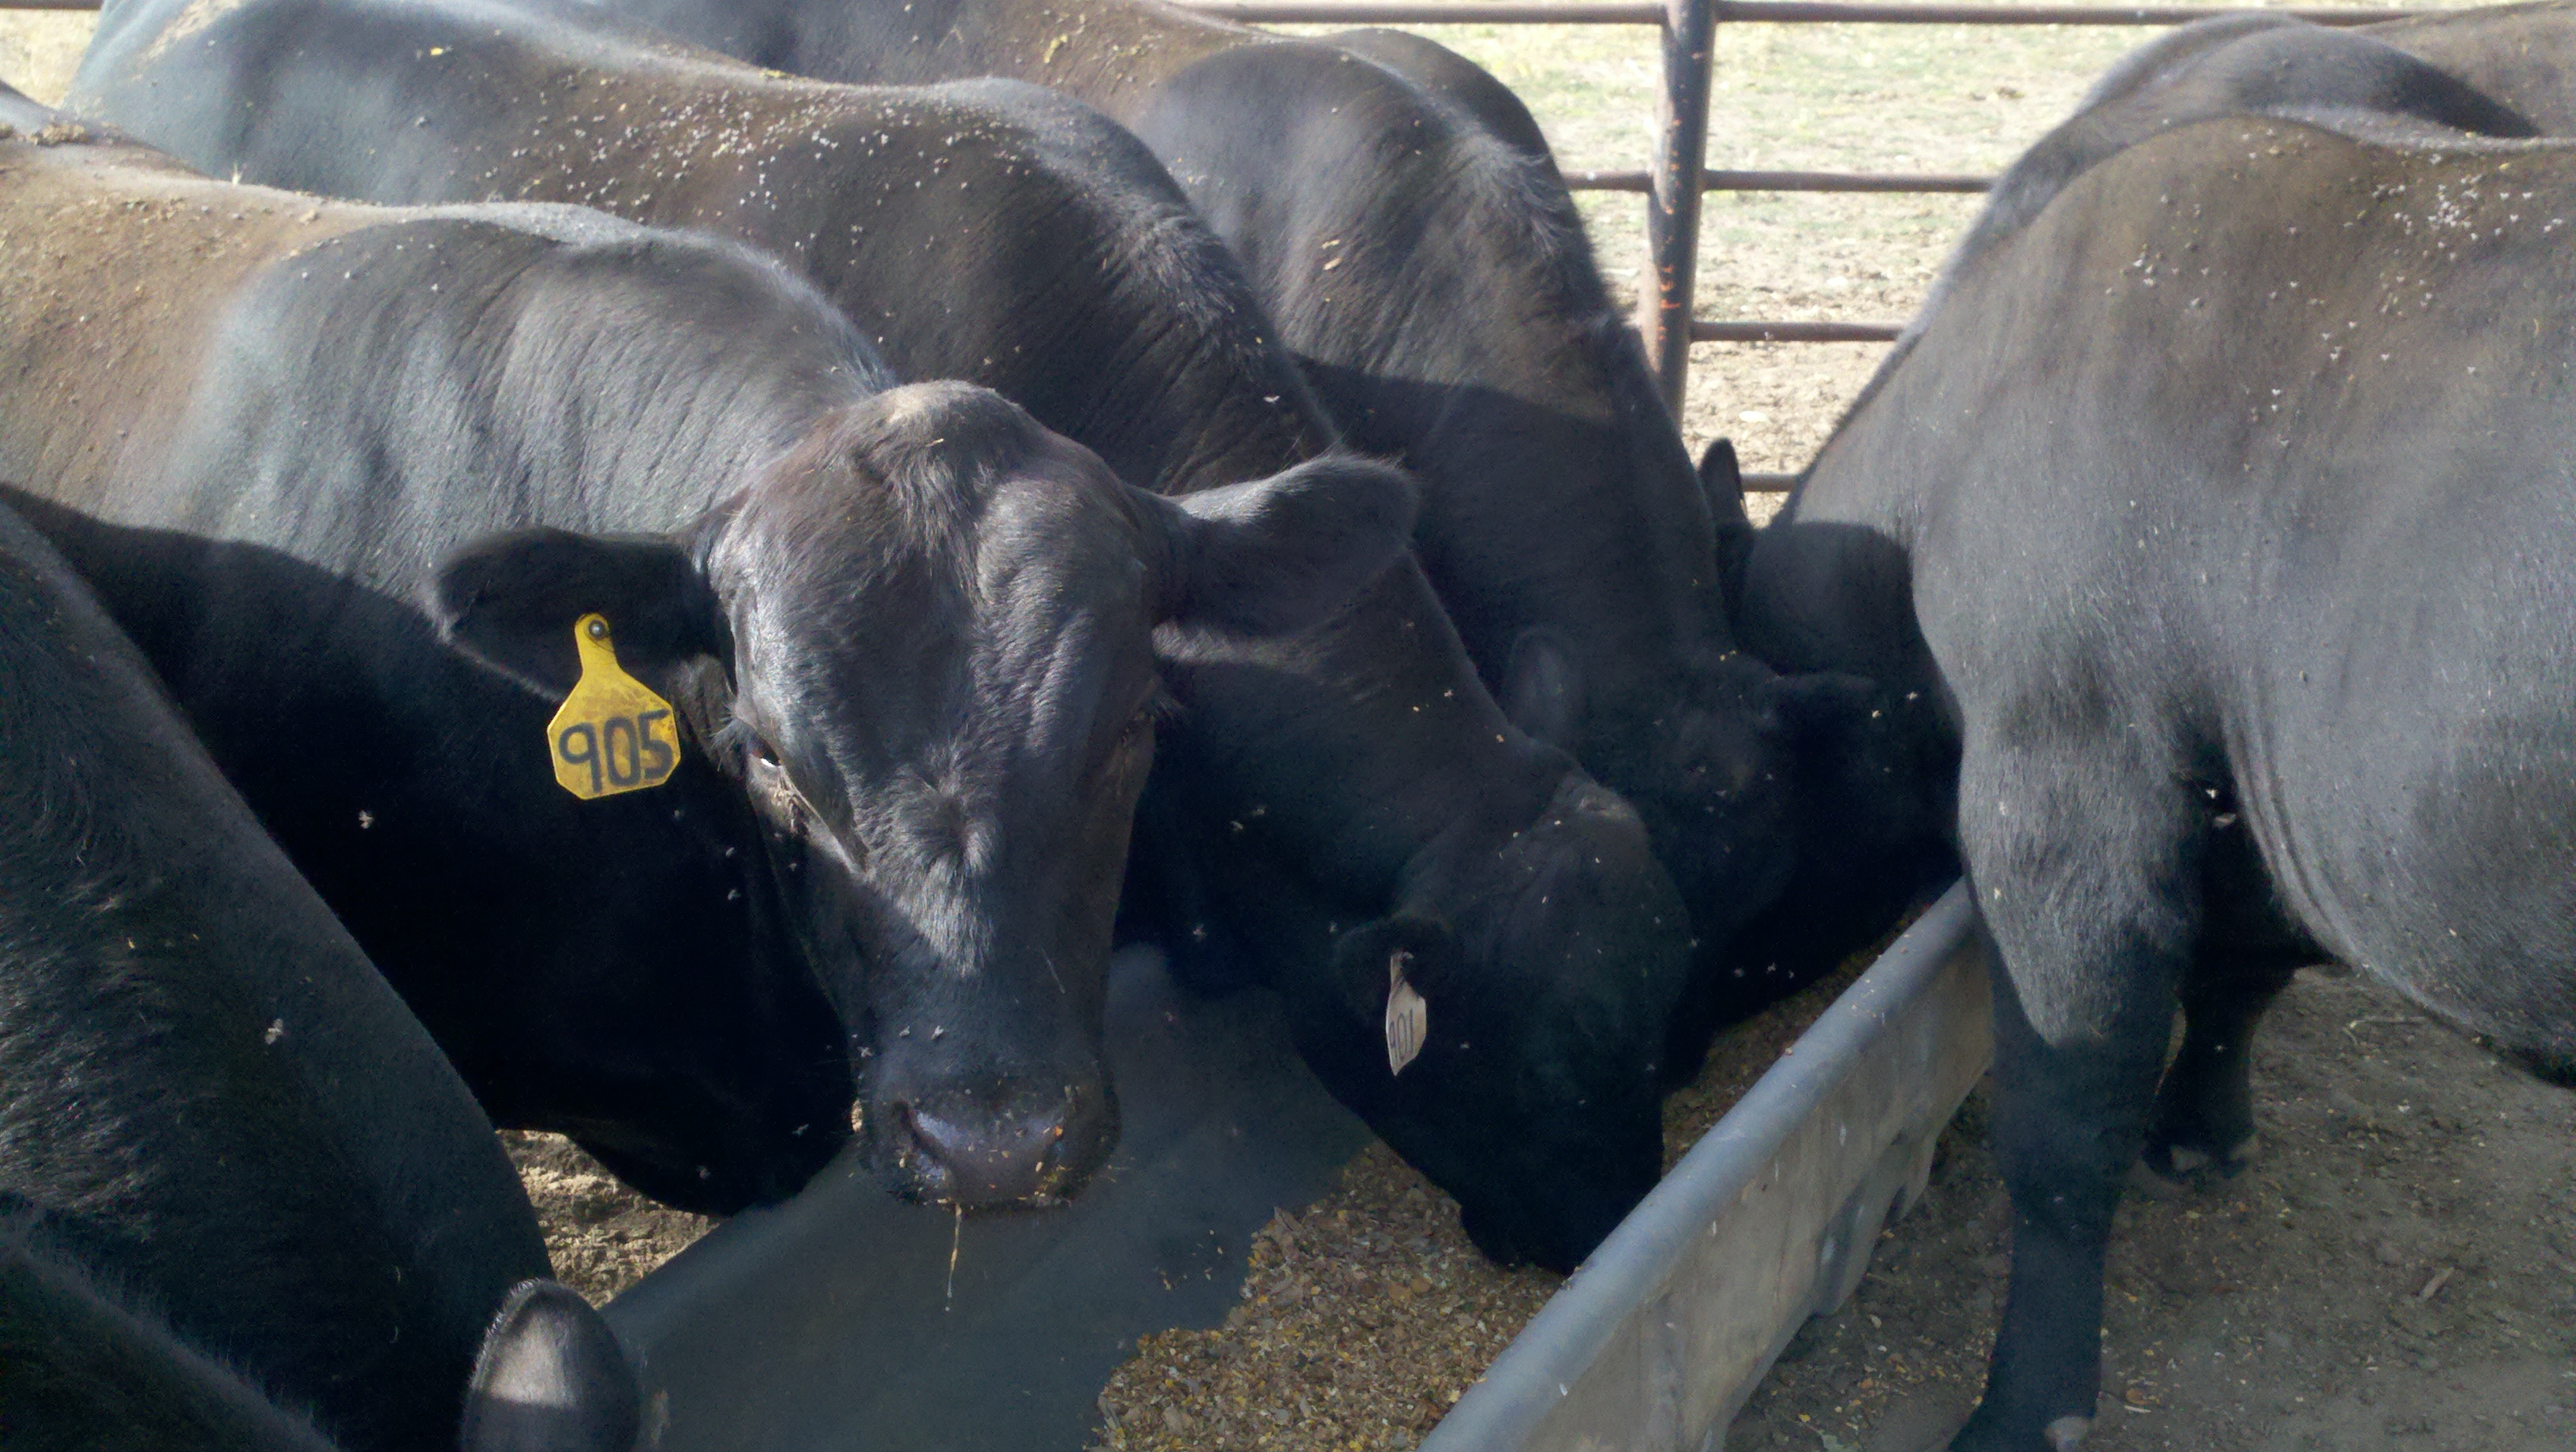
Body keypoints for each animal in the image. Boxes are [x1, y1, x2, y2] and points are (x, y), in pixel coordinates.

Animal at [1736, 46, 2576, 1451]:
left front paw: (2025, 1406)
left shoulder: (2066, 793)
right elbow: (2242, 981)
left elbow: (2064, 1126)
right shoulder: (2246, 798)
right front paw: (2202, 1130)